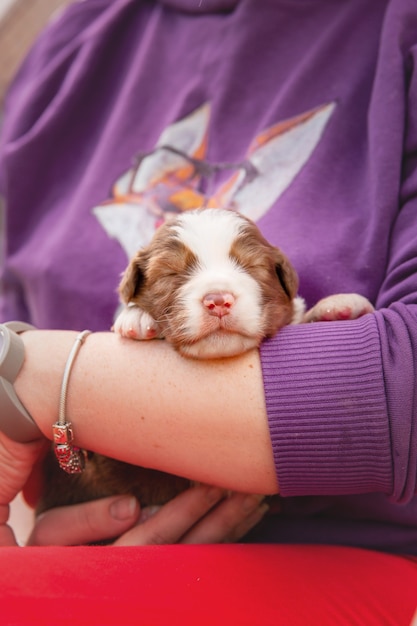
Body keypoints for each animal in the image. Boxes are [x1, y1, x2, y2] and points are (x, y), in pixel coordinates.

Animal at [36, 207, 374, 516]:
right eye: (170, 274)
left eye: (251, 266)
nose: (218, 300)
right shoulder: (107, 464)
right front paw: (137, 317)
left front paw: (338, 306)